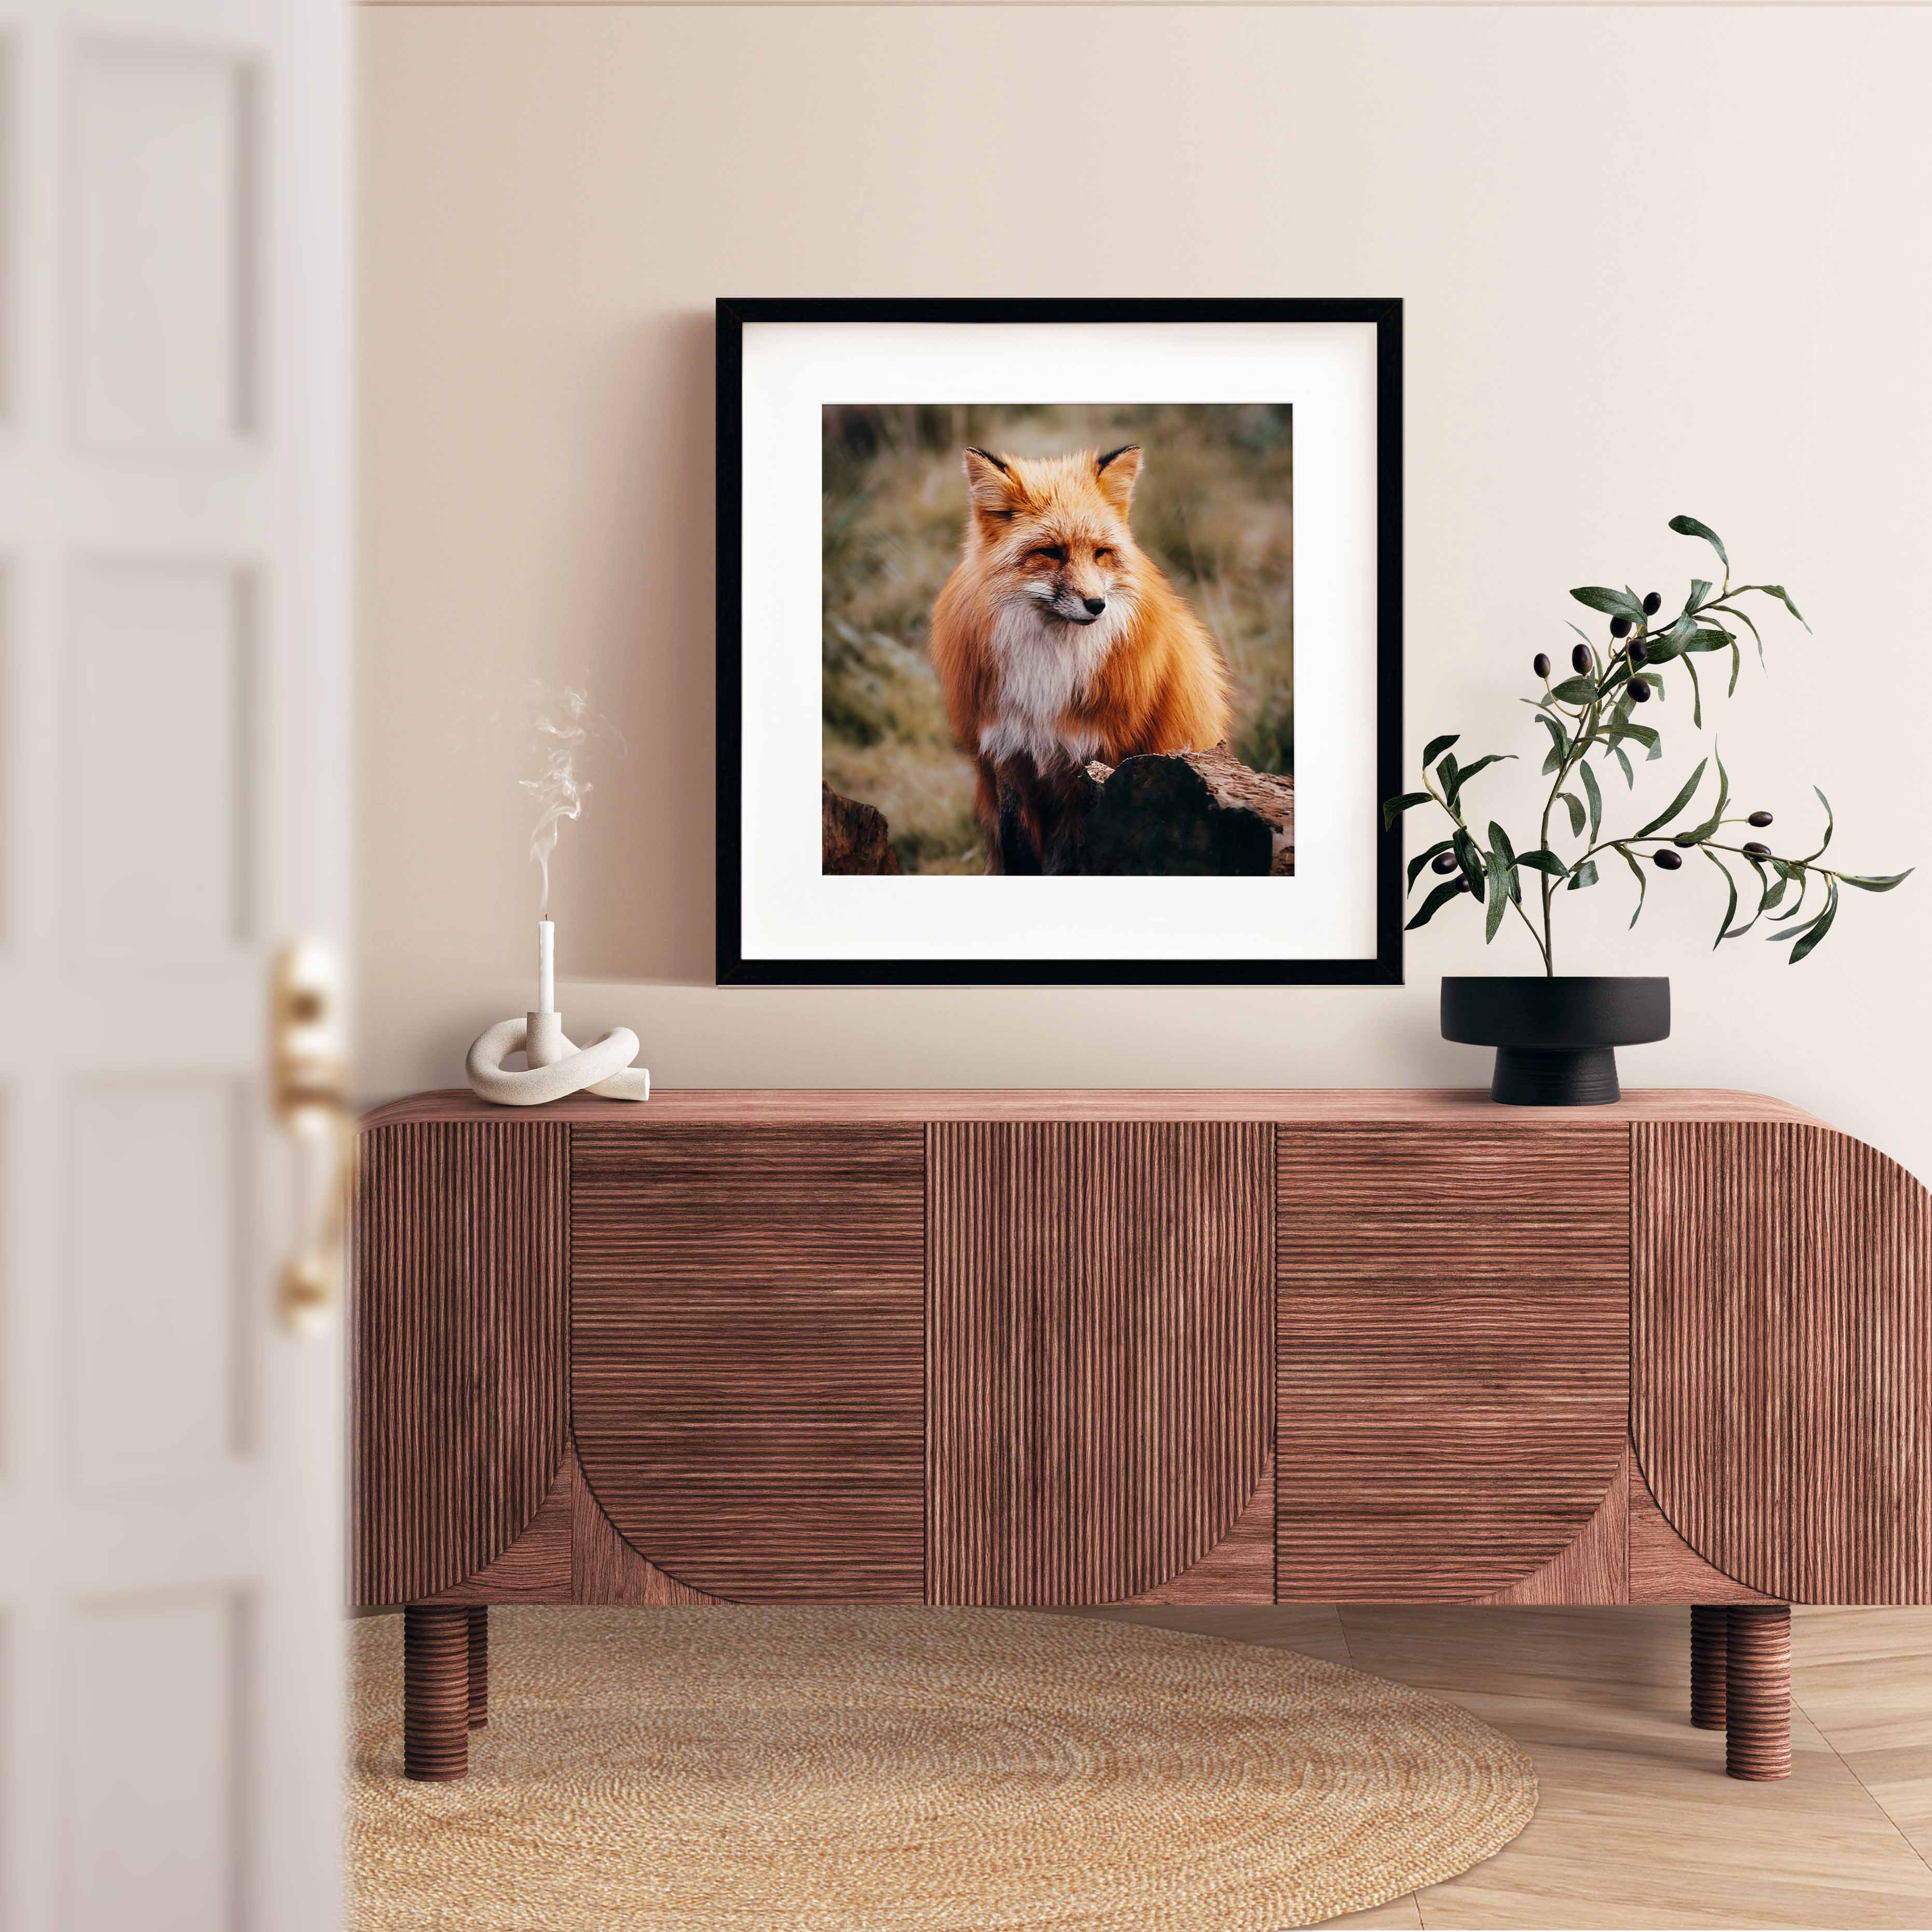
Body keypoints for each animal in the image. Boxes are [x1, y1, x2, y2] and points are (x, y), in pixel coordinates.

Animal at [927, 442, 1229, 873]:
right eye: (1051, 553)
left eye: (1101, 553)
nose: (1097, 604)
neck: (1046, 671)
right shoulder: (1007, 749)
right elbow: (1017, 846)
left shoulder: (1092, 761)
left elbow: (1074, 854)